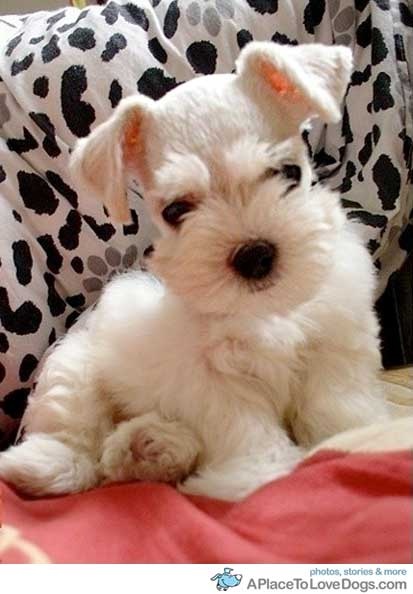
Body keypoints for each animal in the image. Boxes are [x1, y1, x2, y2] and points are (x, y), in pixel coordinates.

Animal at [0, 42, 389, 501]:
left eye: (288, 173)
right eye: (176, 210)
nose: (254, 254)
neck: (263, 309)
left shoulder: (335, 342)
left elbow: (336, 403)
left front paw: (353, 440)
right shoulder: (208, 379)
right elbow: (245, 427)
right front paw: (258, 474)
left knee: (115, 459)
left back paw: (149, 446)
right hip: (73, 368)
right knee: (76, 437)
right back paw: (51, 464)